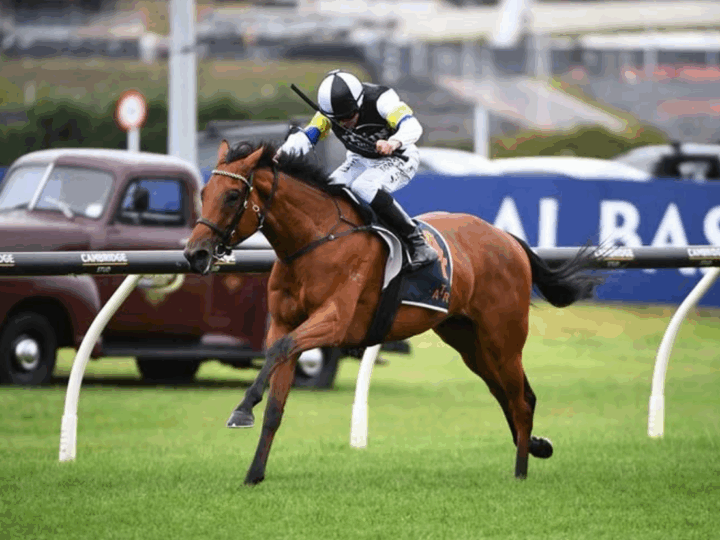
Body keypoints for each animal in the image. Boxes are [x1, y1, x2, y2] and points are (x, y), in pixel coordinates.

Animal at [184, 139, 601, 486]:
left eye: (233, 195)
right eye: (204, 193)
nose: (195, 254)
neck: (315, 241)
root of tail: (509, 239)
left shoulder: (333, 322)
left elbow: (279, 350)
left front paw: (242, 410)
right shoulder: (285, 322)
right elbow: (276, 399)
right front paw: (254, 472)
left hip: (503, 338)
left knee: (521, 400)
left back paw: (521, 472)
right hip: (469, 341)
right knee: (509, 395)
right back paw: (535, 446)